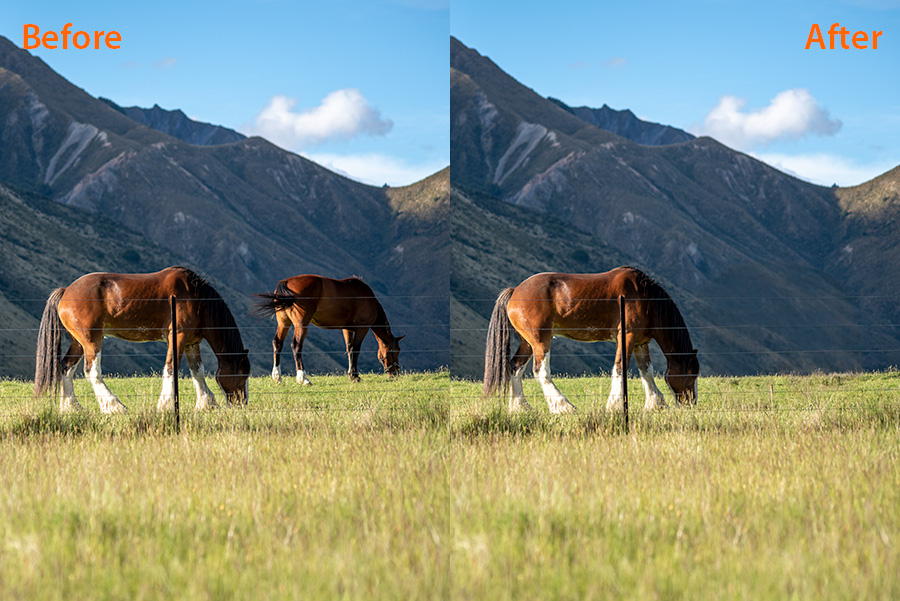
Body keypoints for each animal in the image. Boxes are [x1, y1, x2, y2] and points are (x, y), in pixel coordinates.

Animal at [34, 268, 250, 412]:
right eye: (243, 374)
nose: (242, 403)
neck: (196, 298)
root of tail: (66, 291)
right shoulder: (177, 337)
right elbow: (171, 368)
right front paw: (165, 405)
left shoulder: (191, 342)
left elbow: (198, 371)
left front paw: (207, 404)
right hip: (91, 341)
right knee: (92, 371)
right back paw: (114, 406)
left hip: (78, 343)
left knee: (66, 367)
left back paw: (70, 407)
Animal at [255, 274, 406, 382]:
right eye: (396, 350)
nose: (396, 373)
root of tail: (286, 282)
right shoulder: (362, 328)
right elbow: (355, 350)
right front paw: (355, 376)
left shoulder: (347, 329)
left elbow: (349, 349)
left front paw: (351, 374)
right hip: (301, 324)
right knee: (296, 346)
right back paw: (303, 378)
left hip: (283, 323)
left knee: (277, 343)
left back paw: (277, 376)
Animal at [482, 266, 700, 412]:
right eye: (692, 373)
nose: (691, 403)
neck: (645, 298)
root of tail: (515, 292)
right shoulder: (626, 337)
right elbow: (620, 368)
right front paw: (614, 405)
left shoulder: (640, 343)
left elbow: (646, 371)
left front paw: (656, 404)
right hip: (540, 341)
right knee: (541, 371)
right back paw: (563, 406)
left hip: (526, 343)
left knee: (515, 367)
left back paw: (520, 407)